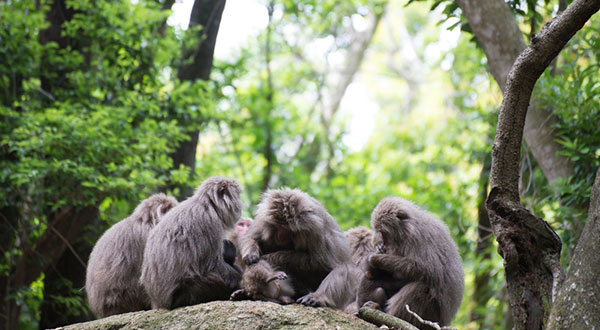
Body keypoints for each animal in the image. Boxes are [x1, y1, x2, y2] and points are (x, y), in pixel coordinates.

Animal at [139, 177, 243, 308]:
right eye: (238, 195)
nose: (240, 204)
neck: (208, 204)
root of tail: (160, 303)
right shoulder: (209, 222)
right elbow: (214, 265)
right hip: (186, 295)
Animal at [356, 197, 464, 328]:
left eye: (383, 231)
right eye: (378, 231)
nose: (383, 242)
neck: (405, 230)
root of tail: (443, 322)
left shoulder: (416, 238)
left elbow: (424, 270)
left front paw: (376, 258)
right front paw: (378, 251)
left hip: (432, 315)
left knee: (420, 287)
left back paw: (390, 315)